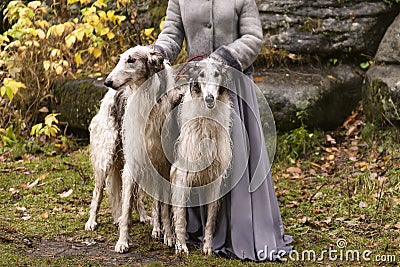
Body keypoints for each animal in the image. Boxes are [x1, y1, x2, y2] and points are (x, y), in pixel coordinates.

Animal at [170, 58, 233, 255]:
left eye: (217, 74)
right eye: (201, 75)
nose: (209, 98)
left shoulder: (215, 177)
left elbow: (211, 218)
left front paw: (208, 247)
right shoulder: (181, 174)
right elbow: (181, 215)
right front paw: (181, 246)